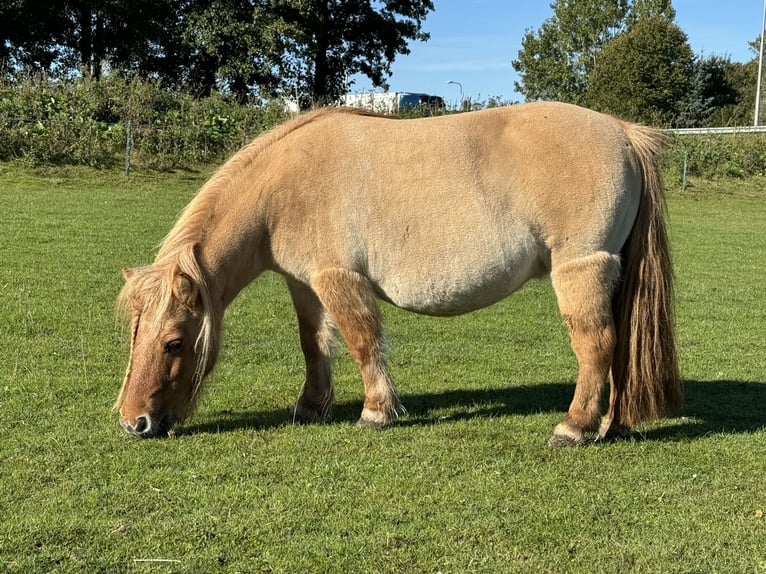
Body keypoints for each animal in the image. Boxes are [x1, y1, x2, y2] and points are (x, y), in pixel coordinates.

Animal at [115, 102, 684, 446]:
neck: (285, 186)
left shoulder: (339, 279)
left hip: (580, 270)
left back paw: (575, 426)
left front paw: (375, 411)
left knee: (597, 345)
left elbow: (362, 342)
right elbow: (314, 344)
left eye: (173, 342)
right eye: (134, 335)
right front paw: (311, 406)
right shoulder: (305, 284)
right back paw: (612, 424)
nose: (133, 421)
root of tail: (623, 132)